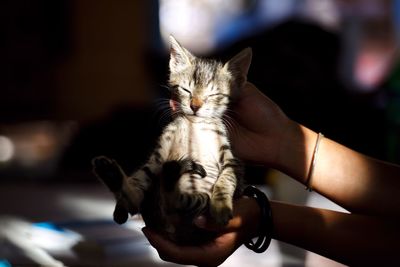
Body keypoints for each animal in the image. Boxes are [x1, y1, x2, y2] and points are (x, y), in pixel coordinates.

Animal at [92, 36, 252, 246]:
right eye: (186, 90)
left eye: (214, 95)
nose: (195, 106)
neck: (194, 126)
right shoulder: (157, 157)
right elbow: (137, 180)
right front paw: (120, 205)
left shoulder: (232, 160)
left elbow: (227, 179)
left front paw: (221, 207)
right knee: (140, 200)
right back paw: (113, 175)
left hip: (197, 205)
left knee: (174, 200)